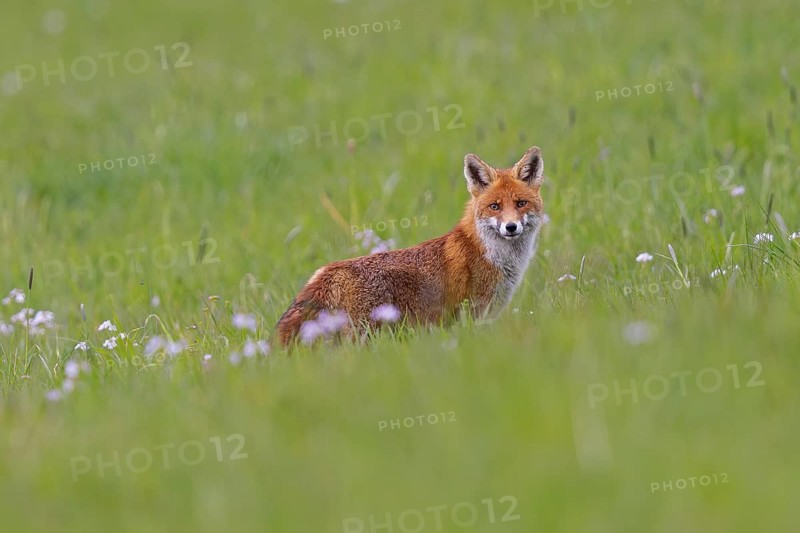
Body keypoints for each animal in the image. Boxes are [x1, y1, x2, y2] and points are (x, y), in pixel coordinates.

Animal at [275, 145, 546, 346]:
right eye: (495, 206)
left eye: (520, 203)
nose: (511, 227)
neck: (494, 256)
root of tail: (330, 270)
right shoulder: (475, 314)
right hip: (363, 336)